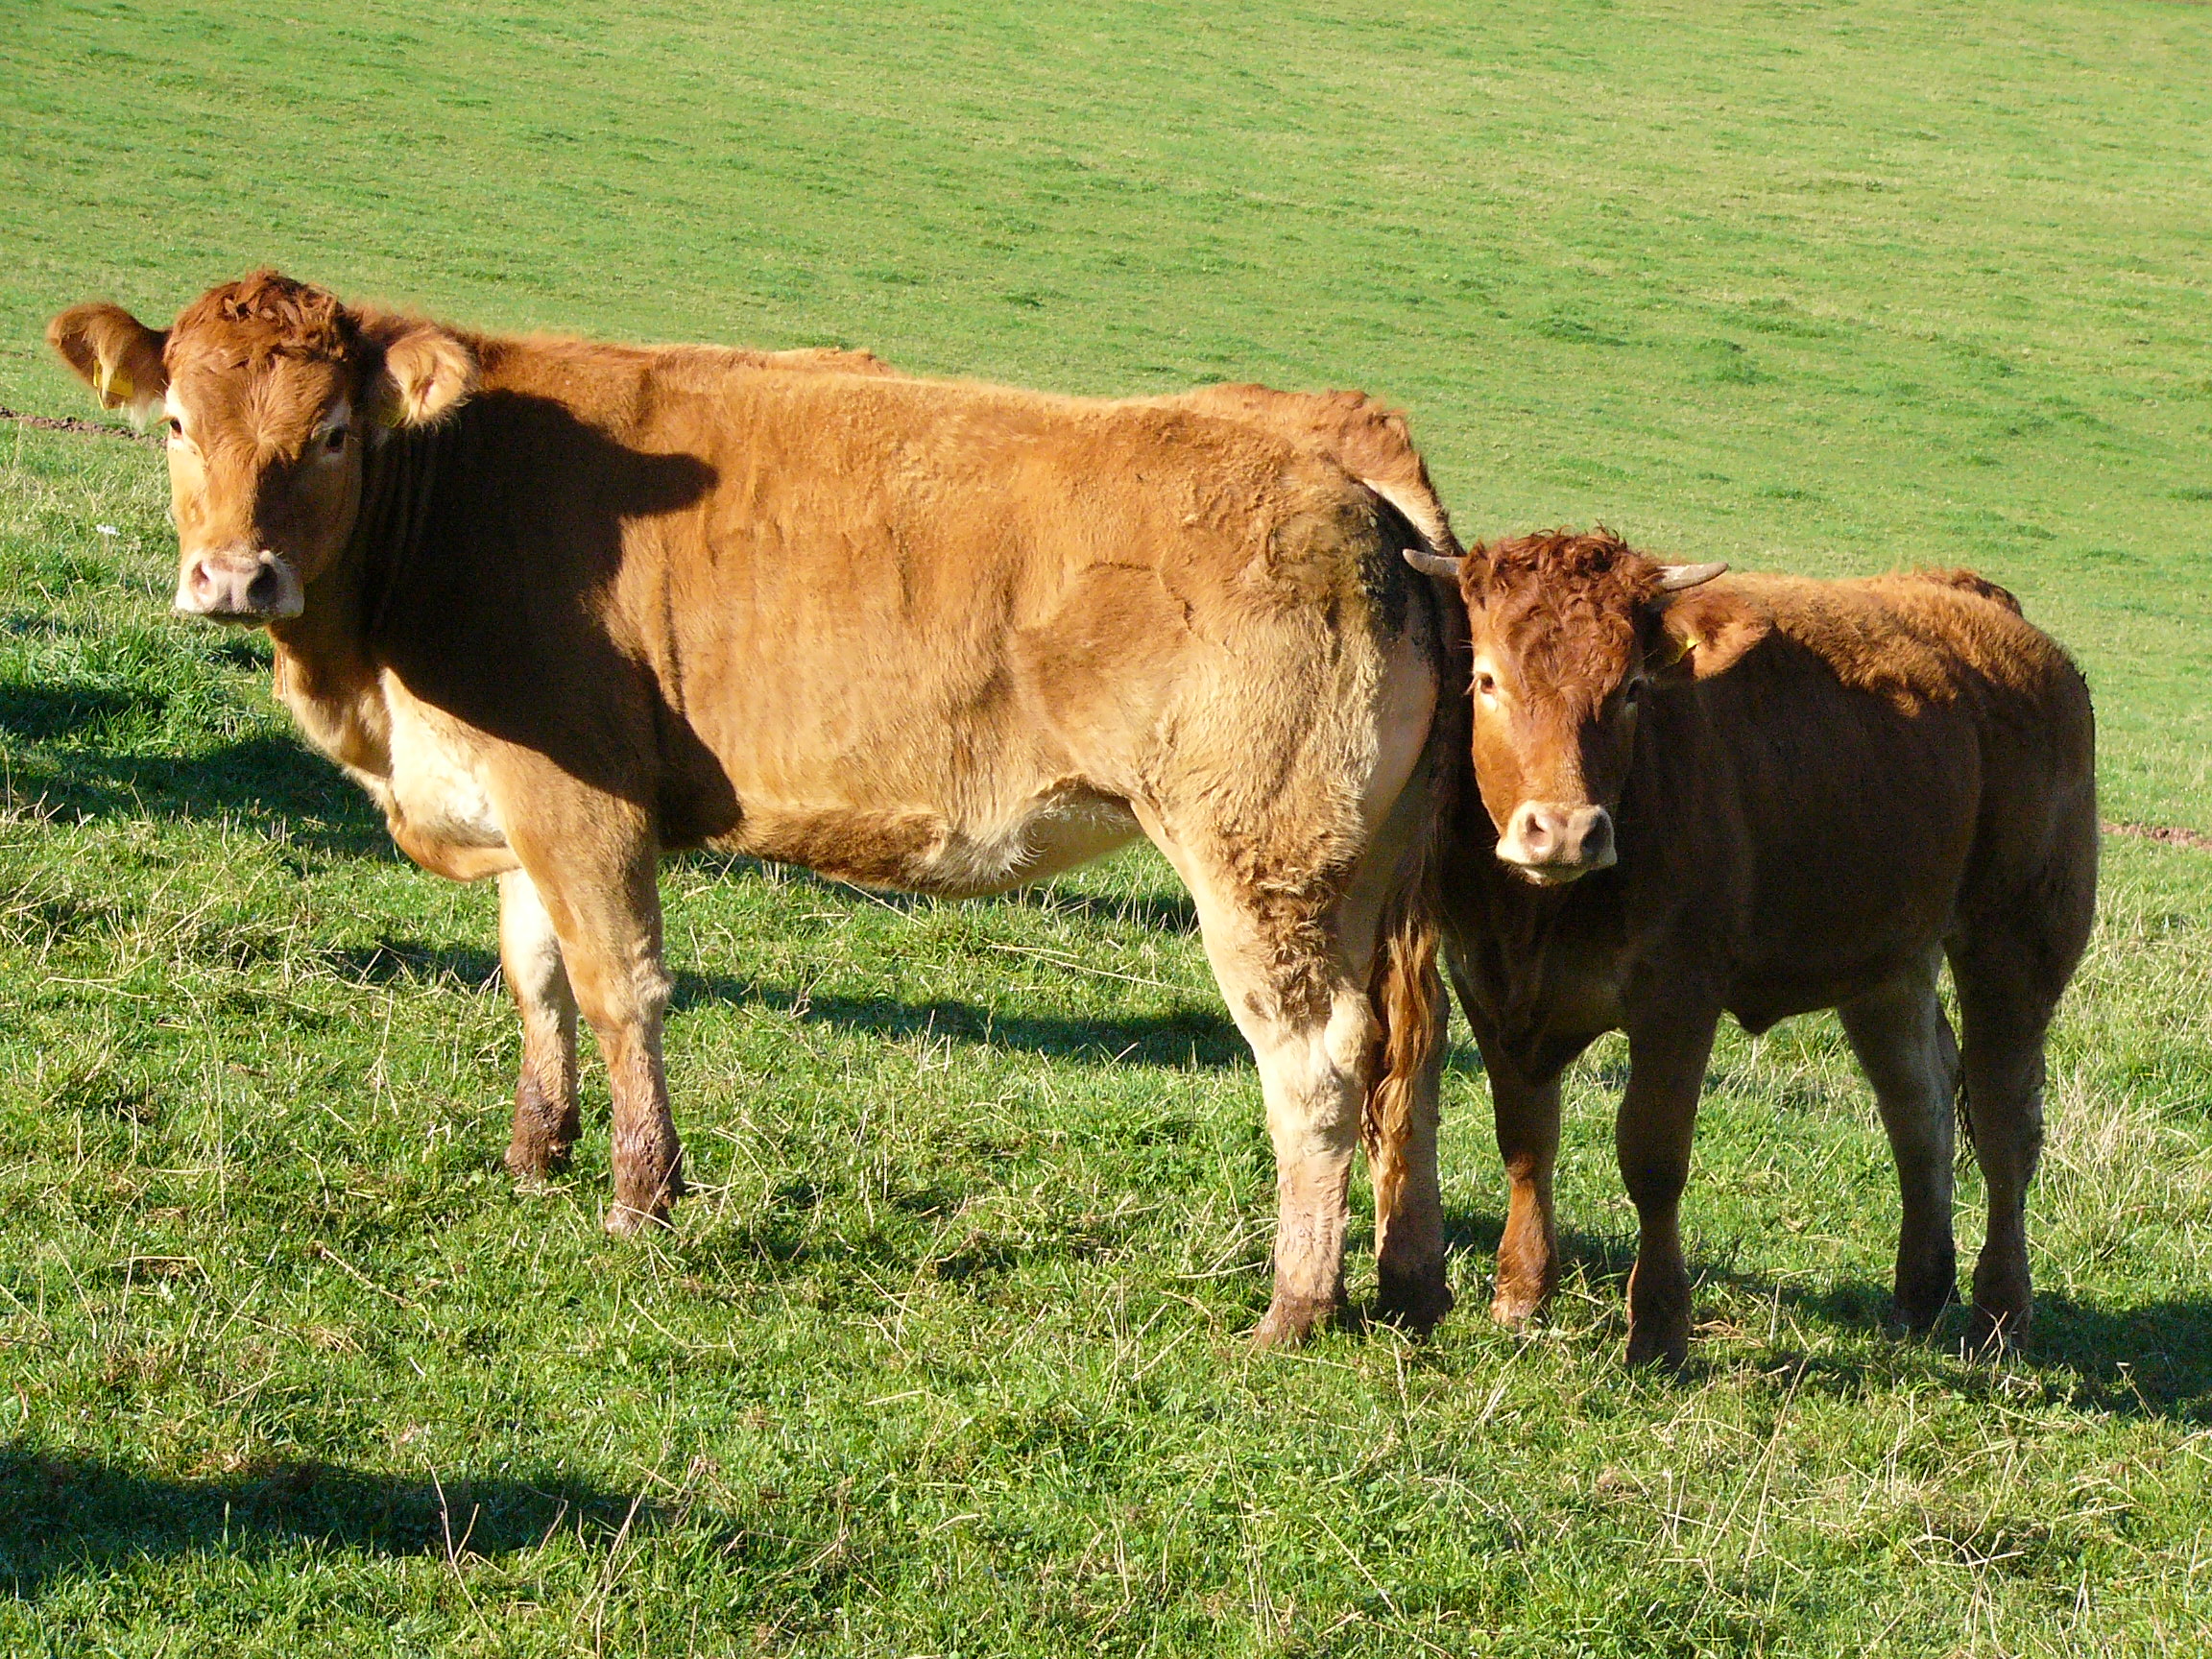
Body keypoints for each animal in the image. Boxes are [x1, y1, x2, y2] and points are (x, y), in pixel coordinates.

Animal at [47, 270, 1461, 1346]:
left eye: (334, 430)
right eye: (176, 421)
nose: (235, 577)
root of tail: (1334, 455)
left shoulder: (581, 793)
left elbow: (618, 984)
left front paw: (640, 1195)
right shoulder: (512, 795)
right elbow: (534, 975)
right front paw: (534, 1152)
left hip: (1256, 856)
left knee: (1314, 1055)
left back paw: (1294, 1304)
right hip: (1367, 872)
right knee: (1409, 1045)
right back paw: (1408, 1282)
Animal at [1399, 528, 2096, 1364]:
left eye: (1631, 688)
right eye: (1486, 680)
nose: (1565, 831)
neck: (1539, 919)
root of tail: (1978, 604)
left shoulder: (1678, 998)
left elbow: (1653, 1156)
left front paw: (1660, 1327)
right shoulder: (1488, 986)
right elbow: (1528, 1141)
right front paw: (1522, 1293)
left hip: (2019, 942)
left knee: (2003, 1126)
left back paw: (2000, 1315)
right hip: (1887, 961)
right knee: (1918, 1105)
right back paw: (1918, 1295)